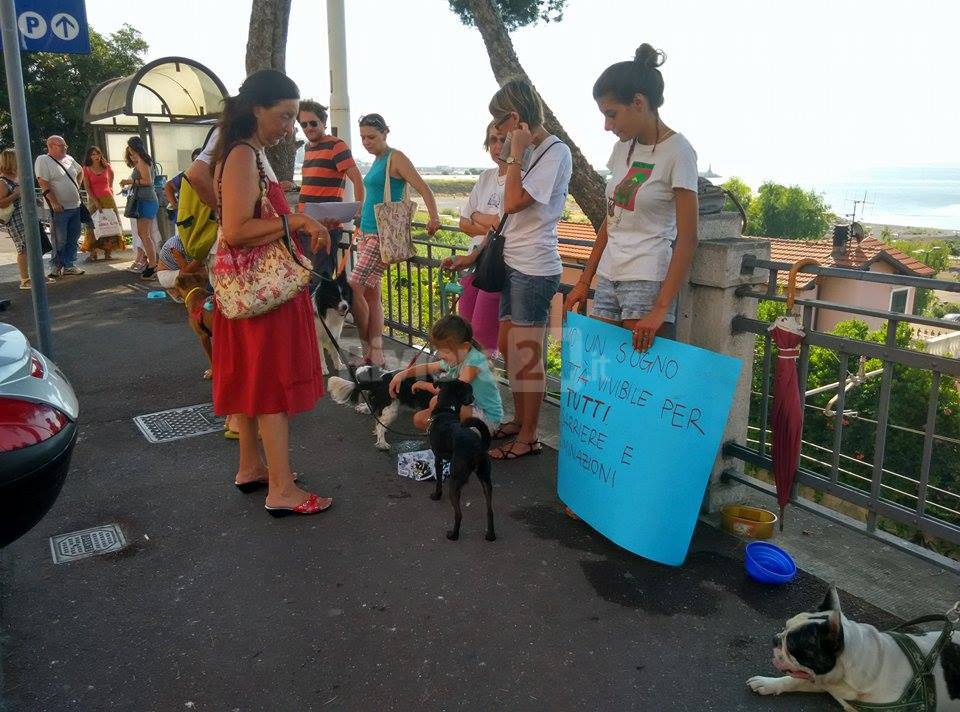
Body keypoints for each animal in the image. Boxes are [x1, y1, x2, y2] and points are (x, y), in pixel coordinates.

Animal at [428, 382, 496, 544]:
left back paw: (453, 535)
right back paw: (490, 535)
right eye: (469, 391)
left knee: (459, 514)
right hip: (486, 480)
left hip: (455, 481)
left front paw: (436, 495)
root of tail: (478, 446)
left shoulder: (438, 458)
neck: (447, 410)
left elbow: (438, 480)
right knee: (490, 511)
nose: (474, 397)